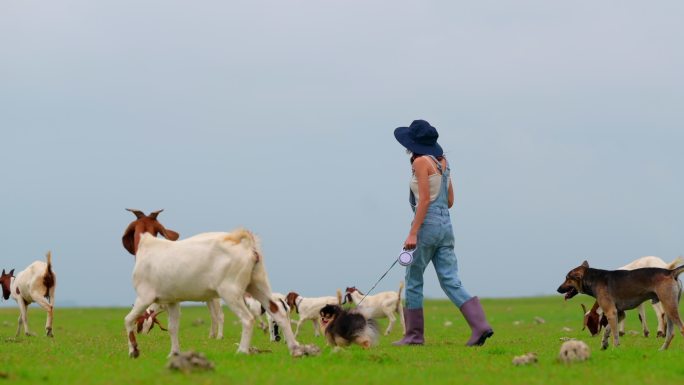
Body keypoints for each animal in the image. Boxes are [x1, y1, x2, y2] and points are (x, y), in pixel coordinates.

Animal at [119, 208, 222, 338]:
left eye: (149, 325)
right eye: (140, 323)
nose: (144, 335)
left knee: (220, 315)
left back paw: (219, 336)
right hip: (210, 297)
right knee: (214, 315)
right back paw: (212, 336)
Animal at [556, 260, 684, 350]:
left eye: (567, 278)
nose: (558, 289)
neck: (593, 278)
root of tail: (670, 272)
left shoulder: (611, 312)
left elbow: (615, 334)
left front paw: (614, 348)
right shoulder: (618, 313)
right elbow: (607, 330)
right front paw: (604, 344)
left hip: (669, 306)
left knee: (681, 329)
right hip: (669, 308)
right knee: (671, 334)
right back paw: (662, 350)